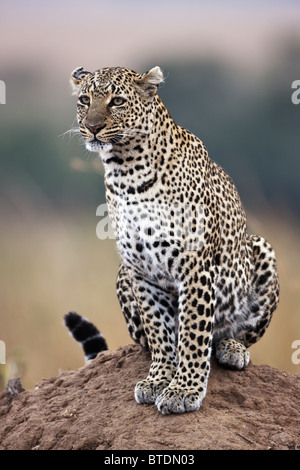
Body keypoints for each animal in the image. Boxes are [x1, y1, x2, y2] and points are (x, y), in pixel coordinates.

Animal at [69, 64, 278, 414]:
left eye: (117, 101)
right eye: (85, 100)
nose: (93, 127)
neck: (126, 172)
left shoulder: (195, 267)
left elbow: (194, 331)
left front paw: (184, 390)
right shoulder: (140, 270)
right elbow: (158, 330)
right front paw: (158, 379)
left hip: (261, 250)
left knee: (232, 334)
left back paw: (232, 349)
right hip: (122, 275)